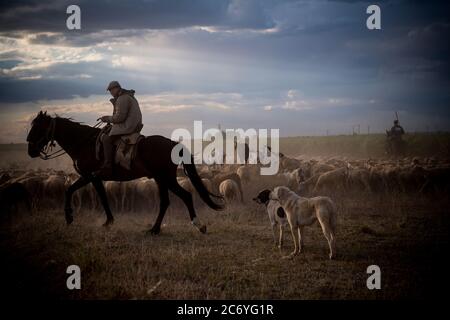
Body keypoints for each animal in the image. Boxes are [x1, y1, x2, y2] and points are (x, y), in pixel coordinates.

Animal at [26, 111, 223, 234]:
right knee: (166, 202)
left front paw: (69, 217)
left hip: (166, 178)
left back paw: (198, 225)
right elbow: (103, 197)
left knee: (185, 196)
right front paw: (108, 221)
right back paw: (155, 229)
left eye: (38, 127)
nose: (30, 151)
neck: (83, 143)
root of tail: (173, 143)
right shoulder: (96, 178)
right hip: (160, 179)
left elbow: (69, 190)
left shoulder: (88, 176)